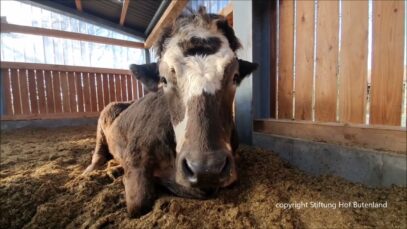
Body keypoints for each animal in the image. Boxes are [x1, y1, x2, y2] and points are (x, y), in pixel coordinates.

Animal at [83, 7, 258, 217]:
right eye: (164, 79)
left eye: (235, 76)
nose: (206, 168)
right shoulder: (135, 156)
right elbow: (138, 204)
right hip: (105, 114)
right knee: (99, 153)